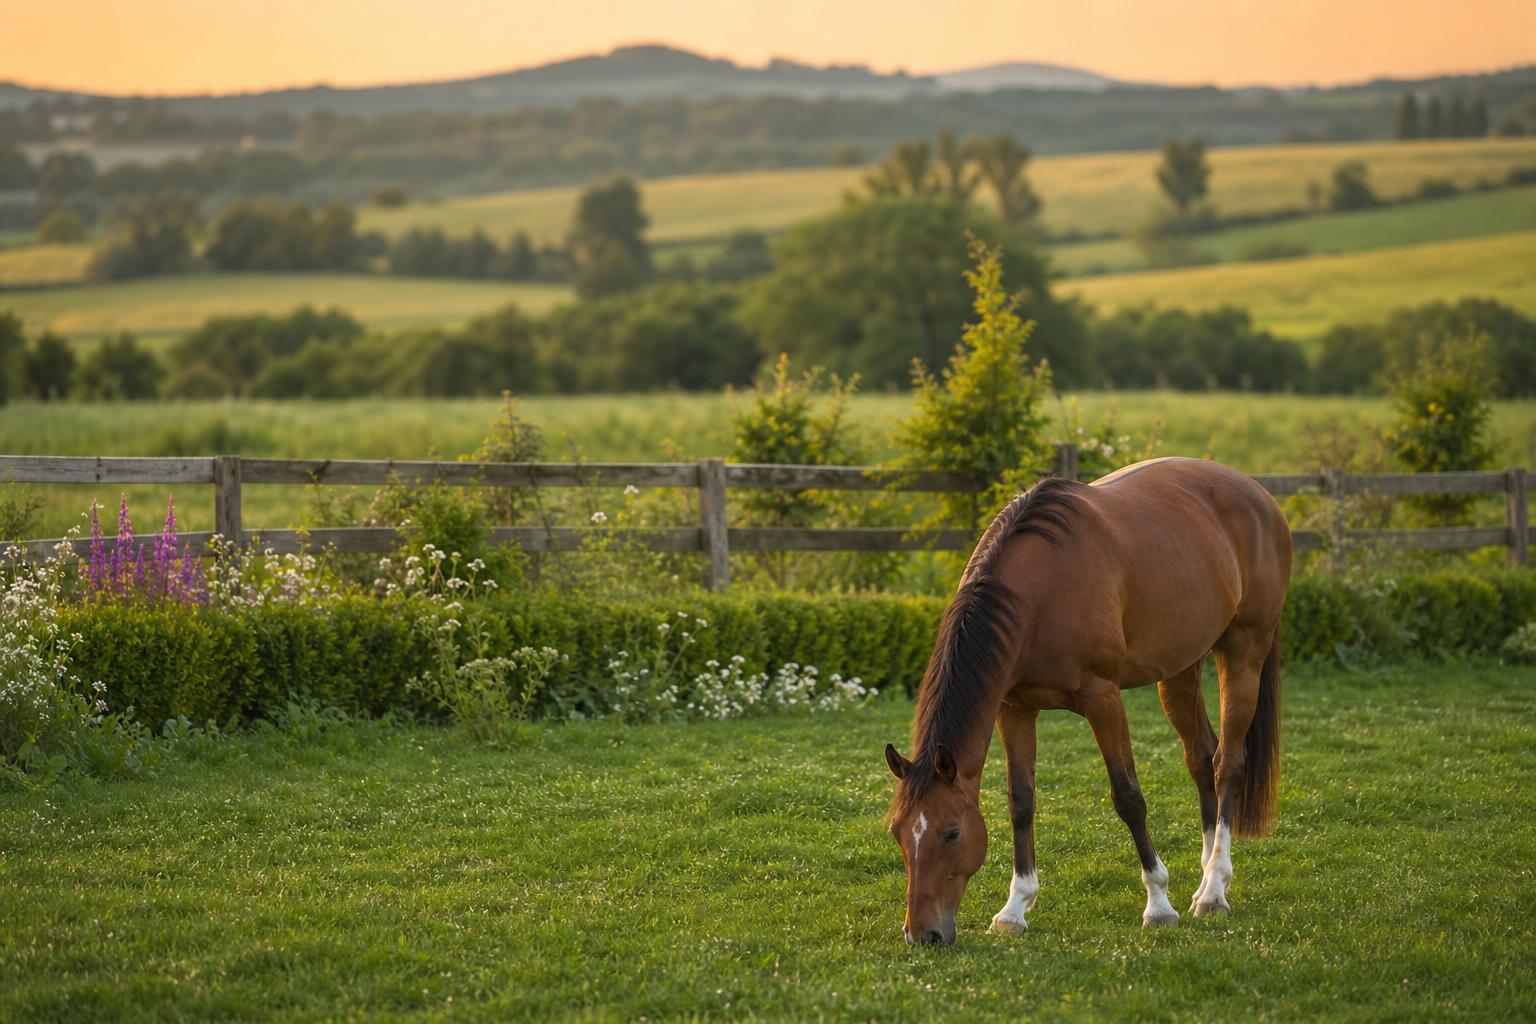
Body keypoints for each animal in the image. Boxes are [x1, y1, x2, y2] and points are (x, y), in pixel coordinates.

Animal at [883, 456, 1291, 945]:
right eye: (898, 833)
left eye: (951, 834)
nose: (922, 934)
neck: (1042, 590)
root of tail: (1258, 493)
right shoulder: (1014, 708)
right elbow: (1021, 802)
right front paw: (1015, 908)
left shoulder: (1104, 699)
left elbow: (1128, 797)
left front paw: (1159, 903)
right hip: (1178, 670)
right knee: (1202, 758)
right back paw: (1207, 874)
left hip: (1244, 653)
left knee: (1227, 762)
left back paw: (1213, 889)